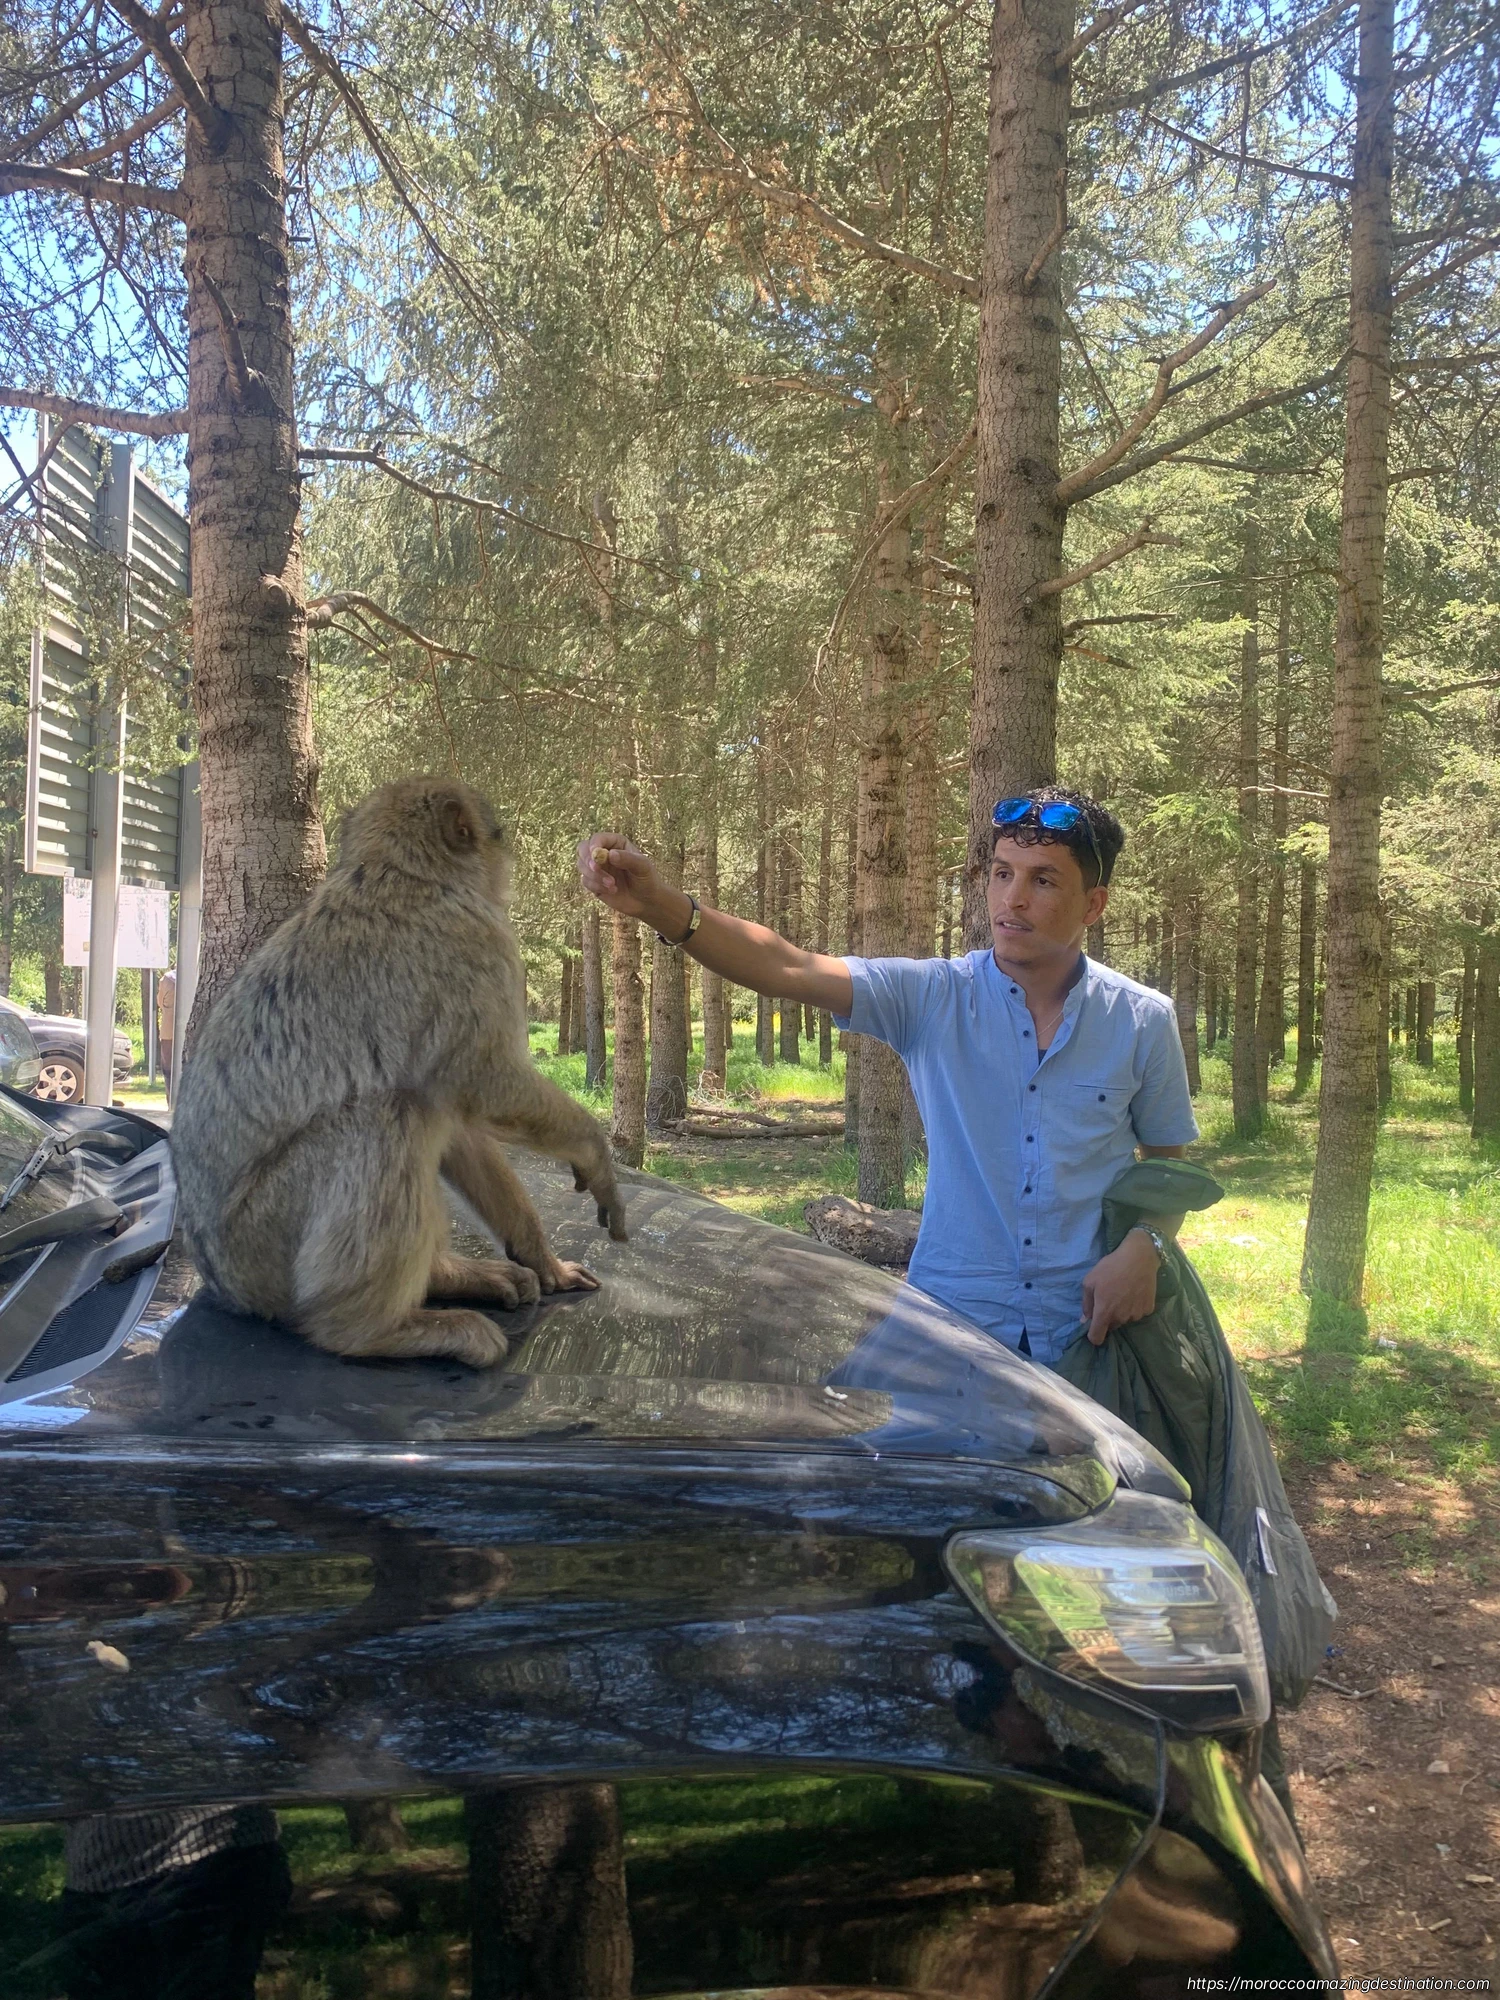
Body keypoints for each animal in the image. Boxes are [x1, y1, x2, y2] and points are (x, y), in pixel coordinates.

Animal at [171, 776, 627, 1369]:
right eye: (496, 834)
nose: (507, 858)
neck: (399, 872)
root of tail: (224, 1285)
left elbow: (461, 1121)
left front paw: (541, 1257)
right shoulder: (481, 946)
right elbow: (486, 1084)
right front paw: (595, 1153)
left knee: (416, 1108)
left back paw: (449, 1278)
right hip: (263, 1240)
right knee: (391, 1115)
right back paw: (372, 1329)